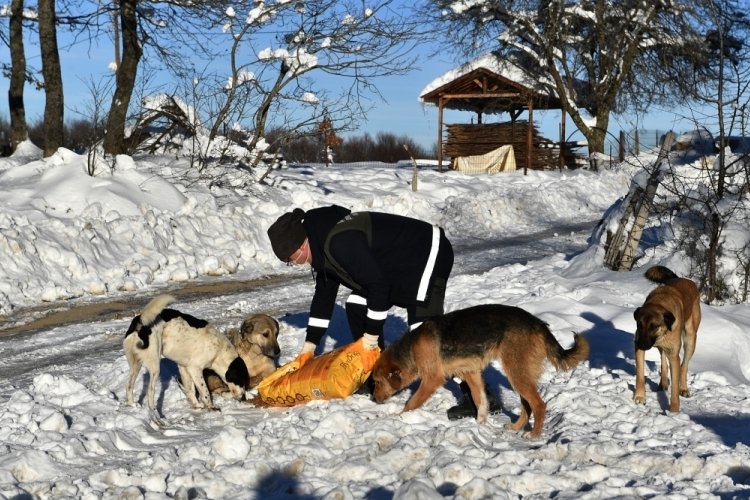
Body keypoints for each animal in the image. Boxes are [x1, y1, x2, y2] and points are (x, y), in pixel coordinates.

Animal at [374, 300, 592, 438]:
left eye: (376, 382)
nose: (374, 399)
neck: (410, 348)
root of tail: (538, 323)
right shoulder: (471, 374)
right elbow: (481, 402)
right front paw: (480, 425)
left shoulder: (432, 379)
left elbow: (412, 402)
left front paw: (400, 417)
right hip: (520, 375)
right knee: (527, 405)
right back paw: (516, 427)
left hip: (517, 373)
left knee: (538, 405)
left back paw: (534, 435)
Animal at [636, 266, 704, 410]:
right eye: (639, 325)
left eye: (654, 326)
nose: (642, 345)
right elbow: (640, 374)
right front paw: (639, 397)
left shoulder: (674, 355)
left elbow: (675, 388)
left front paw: (673, 410)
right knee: (663, 360)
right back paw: (663, 383)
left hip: (690, 339)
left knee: (684, 365)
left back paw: (683, 388)